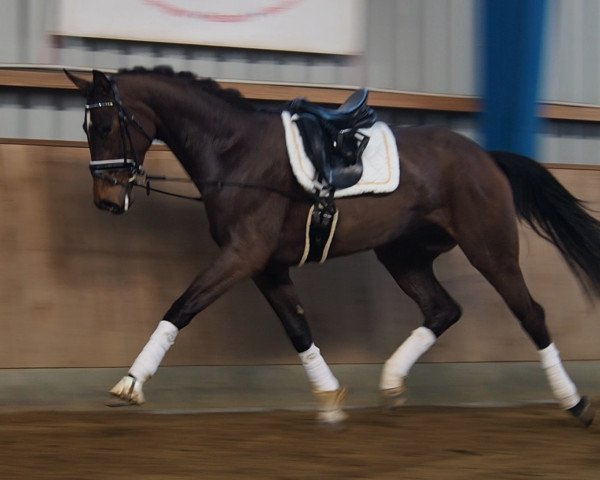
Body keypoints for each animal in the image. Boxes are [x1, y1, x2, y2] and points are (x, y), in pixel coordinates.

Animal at [65, 65, 600, 426]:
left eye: (106, 126)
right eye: (87, 128)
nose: (106, 200)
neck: (235, 152)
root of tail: (486, 157)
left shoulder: (243, 255)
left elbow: (182, 306)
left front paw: (130, 383)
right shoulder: (267, 266)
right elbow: (298, 329)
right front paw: (331, 399)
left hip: (490, 249)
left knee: (530, 314)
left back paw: (574, 402)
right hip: (402, 254)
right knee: (442, 309)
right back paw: (390, 384)